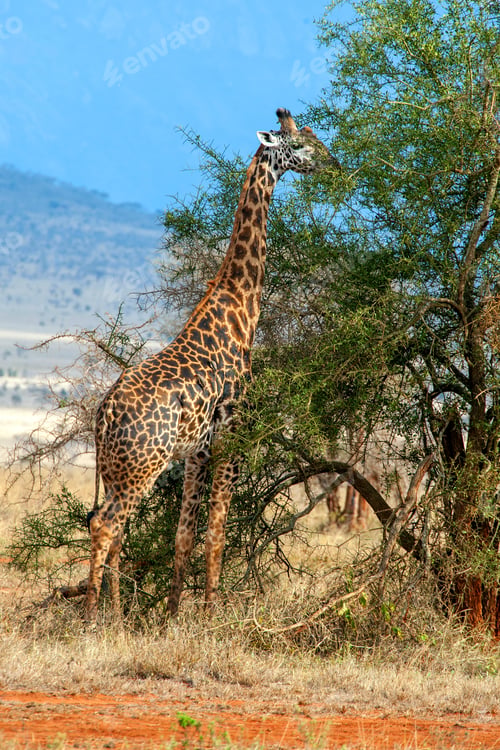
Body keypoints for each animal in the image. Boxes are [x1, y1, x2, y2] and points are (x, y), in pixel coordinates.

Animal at [86, 108, 336, 623]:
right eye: (302, 146)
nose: (335, 164)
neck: (241, 308)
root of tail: (104, 414)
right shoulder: (232, 437)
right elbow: (217, 535)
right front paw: (209, 617)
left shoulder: (197, 452)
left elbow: (184, 537)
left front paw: (172, 617)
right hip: (143, 466)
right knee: (105, 526)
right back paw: (90, 618)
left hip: (119, 469)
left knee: (110, 528)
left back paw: (114, 614)